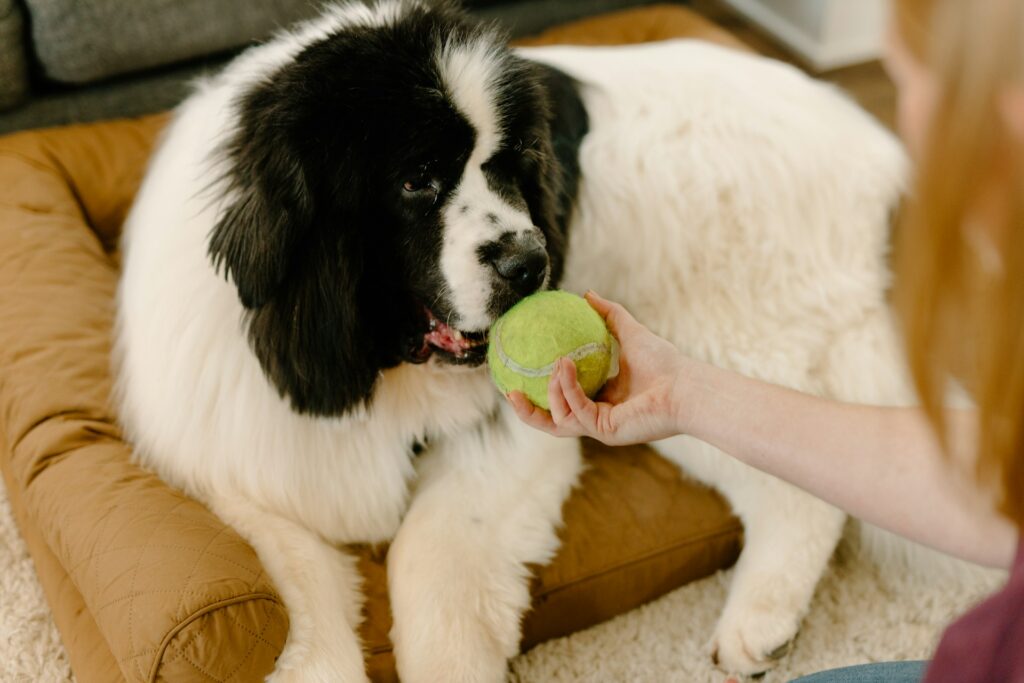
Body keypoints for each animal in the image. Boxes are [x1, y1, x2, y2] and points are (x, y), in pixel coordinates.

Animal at [116, 0, 909, 679]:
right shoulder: (242, 460)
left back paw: (757, 623)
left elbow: (428, 552)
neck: (363, 361)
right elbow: (296, 596)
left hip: (708, 336)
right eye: (416, 181)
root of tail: (881, 161)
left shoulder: (507, 436)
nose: (531, 263)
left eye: (511, 162)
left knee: (802, 479)